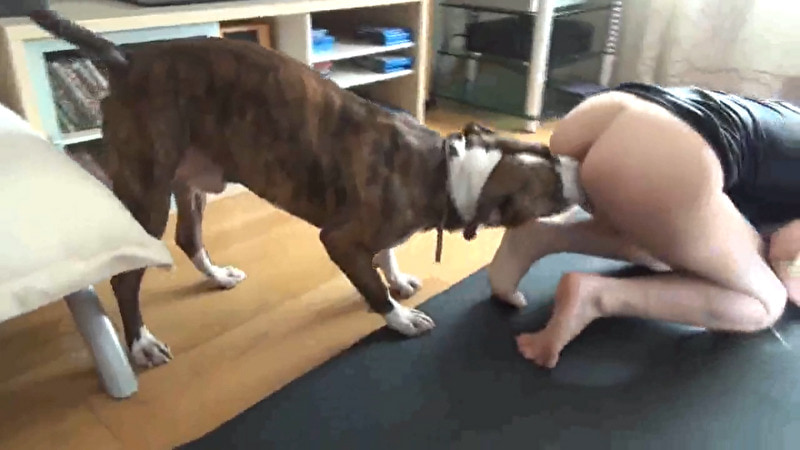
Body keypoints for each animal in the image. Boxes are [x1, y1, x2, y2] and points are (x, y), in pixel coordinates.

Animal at [28, 10, 584, 368]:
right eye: (553, 192)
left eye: (550, 155)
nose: (579, 166)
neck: (448, 171)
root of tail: (126, 60)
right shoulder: (340, 239)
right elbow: (372, 286)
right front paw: (398, 316)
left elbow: (385, 255)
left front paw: (397, 277)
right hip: (147, 194)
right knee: (127, 278)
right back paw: (140, 343)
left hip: (192, 182)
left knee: (189, 238)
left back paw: (216, 275)